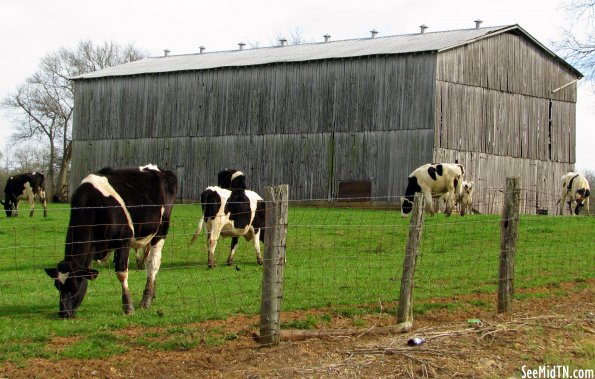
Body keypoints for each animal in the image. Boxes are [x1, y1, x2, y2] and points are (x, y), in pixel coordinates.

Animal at [44, 165, 177, 320]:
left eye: (74, 287)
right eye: (57, 286)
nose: (63, 313)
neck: (93, 206)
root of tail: (158, 169)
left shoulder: (124, 239)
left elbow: (121, 273)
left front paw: (128, 307)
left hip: (161, 229)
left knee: (153, 263)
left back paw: (146, 300)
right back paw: (152, 293)